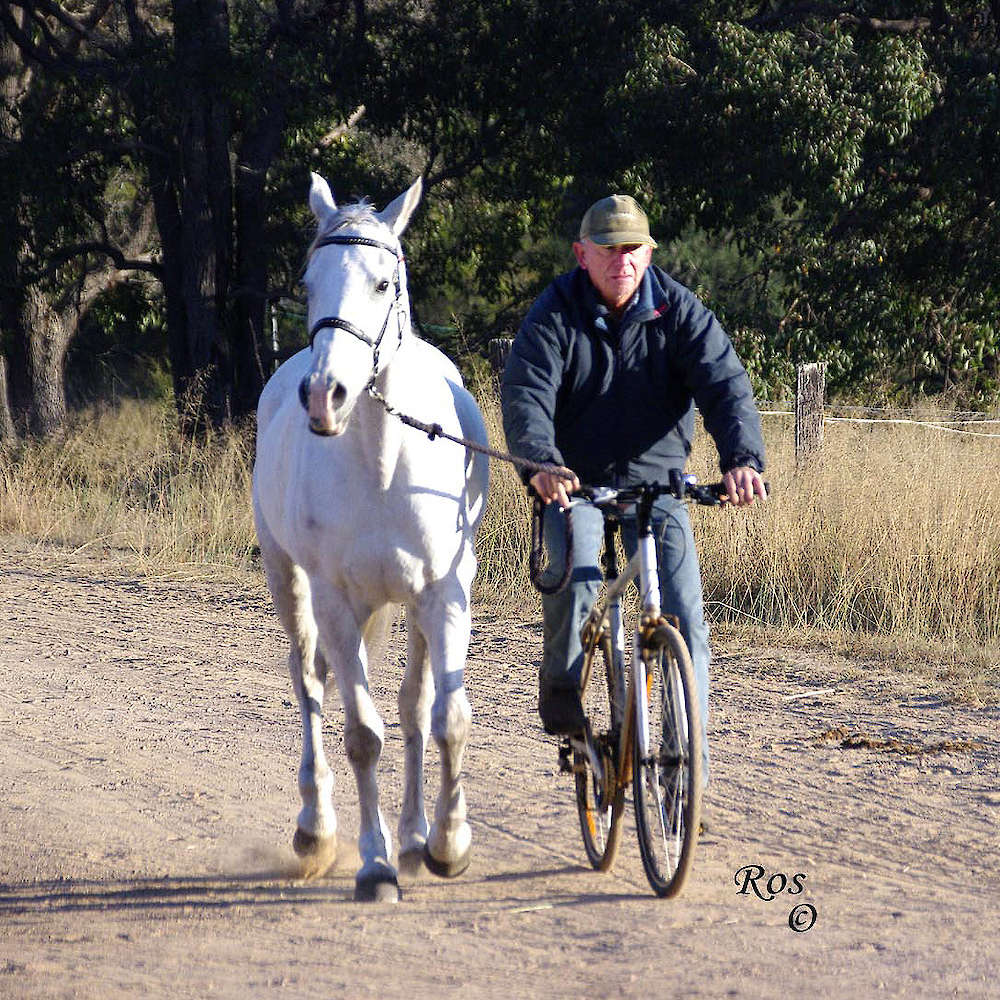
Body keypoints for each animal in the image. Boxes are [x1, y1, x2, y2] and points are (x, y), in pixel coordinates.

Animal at [252, 173, 489, 902]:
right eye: (308, 282)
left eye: (384, 282)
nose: (323, 393)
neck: (384, 461)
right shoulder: (333, 600)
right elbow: (361, 733)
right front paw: (376, 864)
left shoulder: (444, 595)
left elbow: (444, 718)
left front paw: (446, 844)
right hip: (288, 580)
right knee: (308, 683)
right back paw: (316, 829)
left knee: (414, 708)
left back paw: (415, 838)